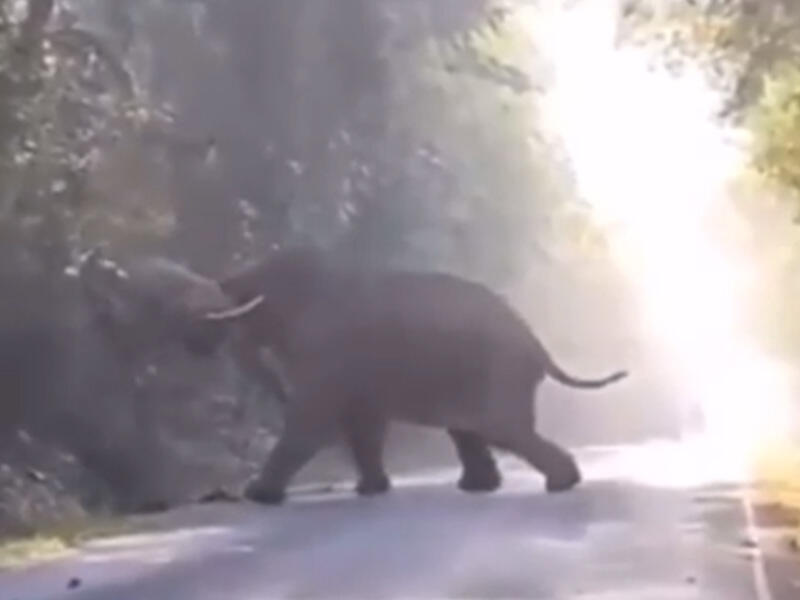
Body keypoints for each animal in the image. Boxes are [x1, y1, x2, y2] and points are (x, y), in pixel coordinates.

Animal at [196, 245, 629, 505]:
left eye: (248, 305)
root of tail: (536, 341)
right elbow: (362, 422)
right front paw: (371, 490)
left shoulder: (329, 349)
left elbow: (316, 420)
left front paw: (257, 495)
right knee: (472, 430)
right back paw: (482, 487)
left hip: (499, 370)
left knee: (501, 428)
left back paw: (560, 483)